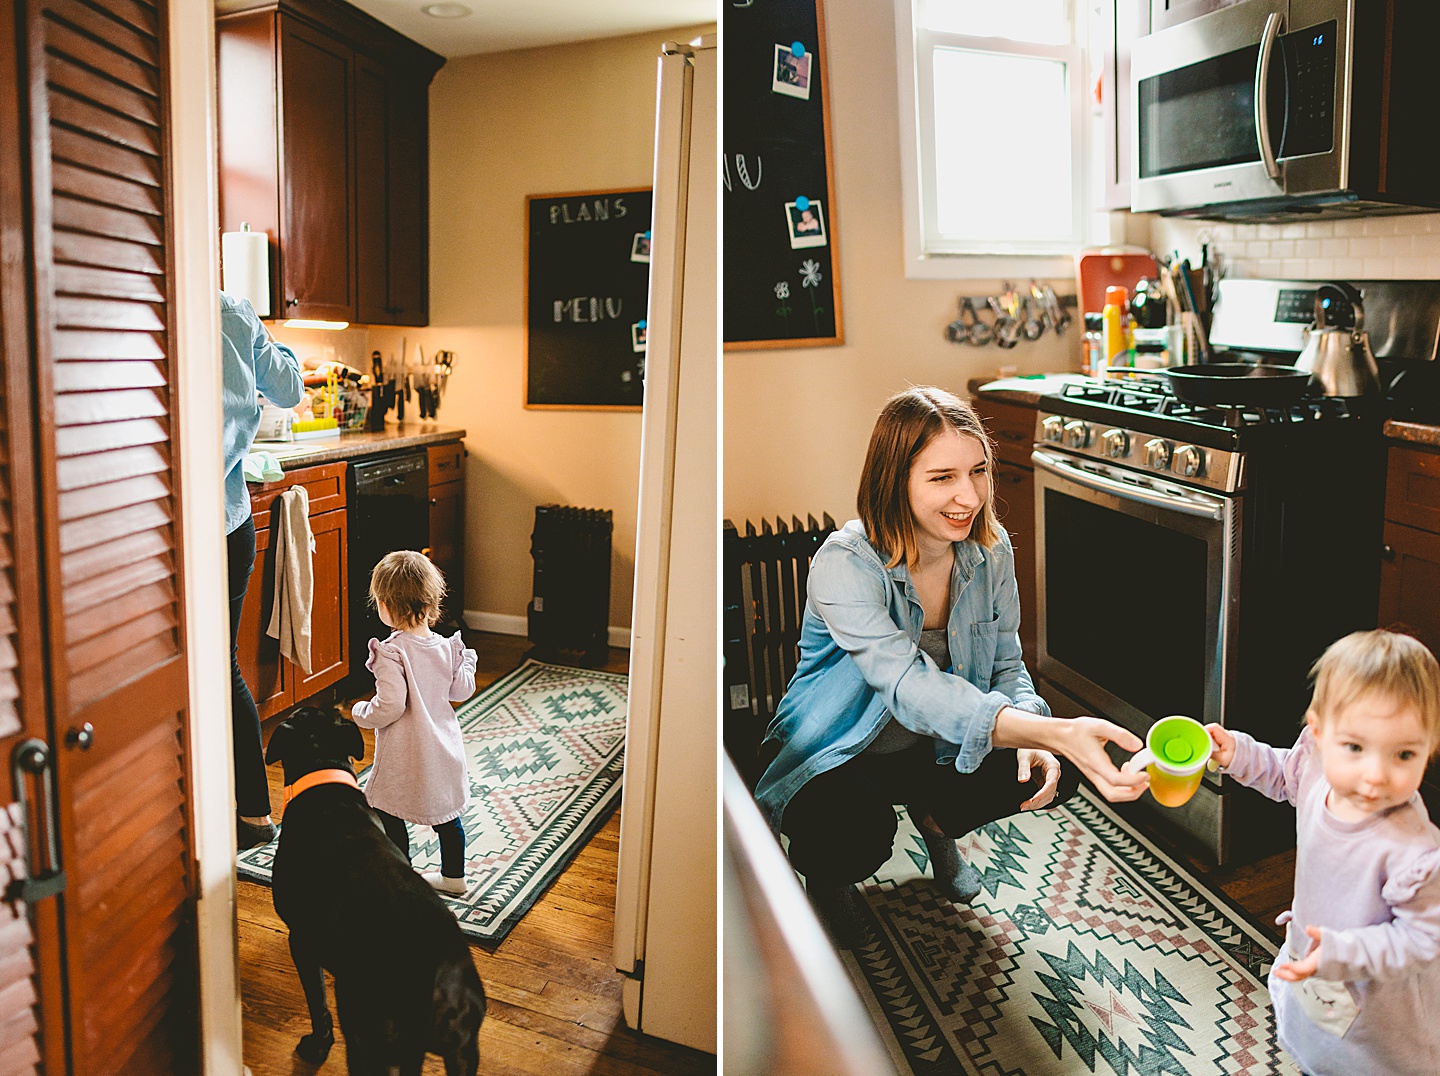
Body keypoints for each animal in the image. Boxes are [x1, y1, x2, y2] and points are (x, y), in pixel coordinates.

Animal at [259, 705, 483, 1076]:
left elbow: (317, 1003)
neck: (324, 781)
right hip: (463, 1052)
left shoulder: (301, 942)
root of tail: (438, 979)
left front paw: (317, 1047)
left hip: (368, 1036)